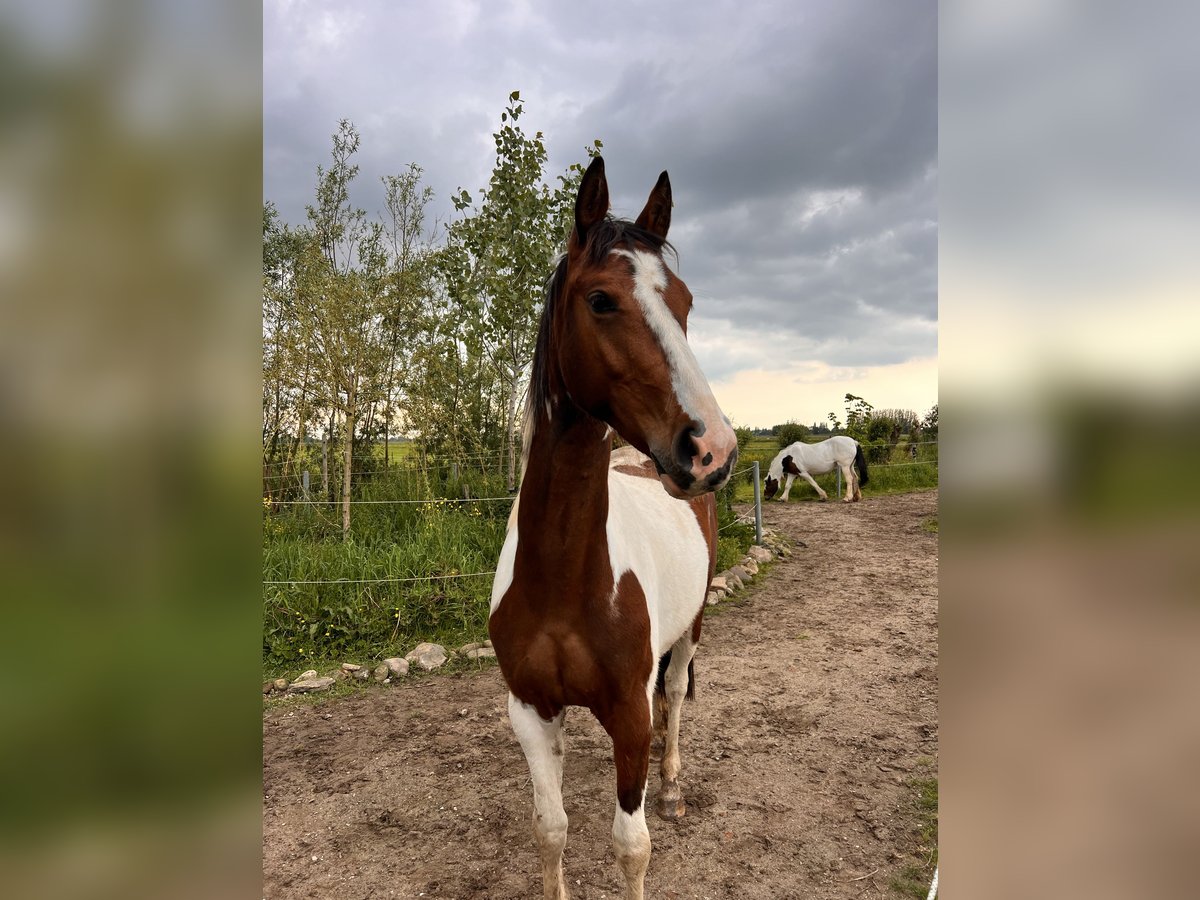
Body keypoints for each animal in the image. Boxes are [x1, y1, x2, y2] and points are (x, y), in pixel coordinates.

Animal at [489, 157, 739, 900]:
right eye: (601, 300)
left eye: (684, 303)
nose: (712, 449)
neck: (565, 578)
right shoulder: (531, 710)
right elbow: (551, 831)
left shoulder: (627, 710)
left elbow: (631, 846)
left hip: (690, 630)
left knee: (675, 699)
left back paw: (672, 781)